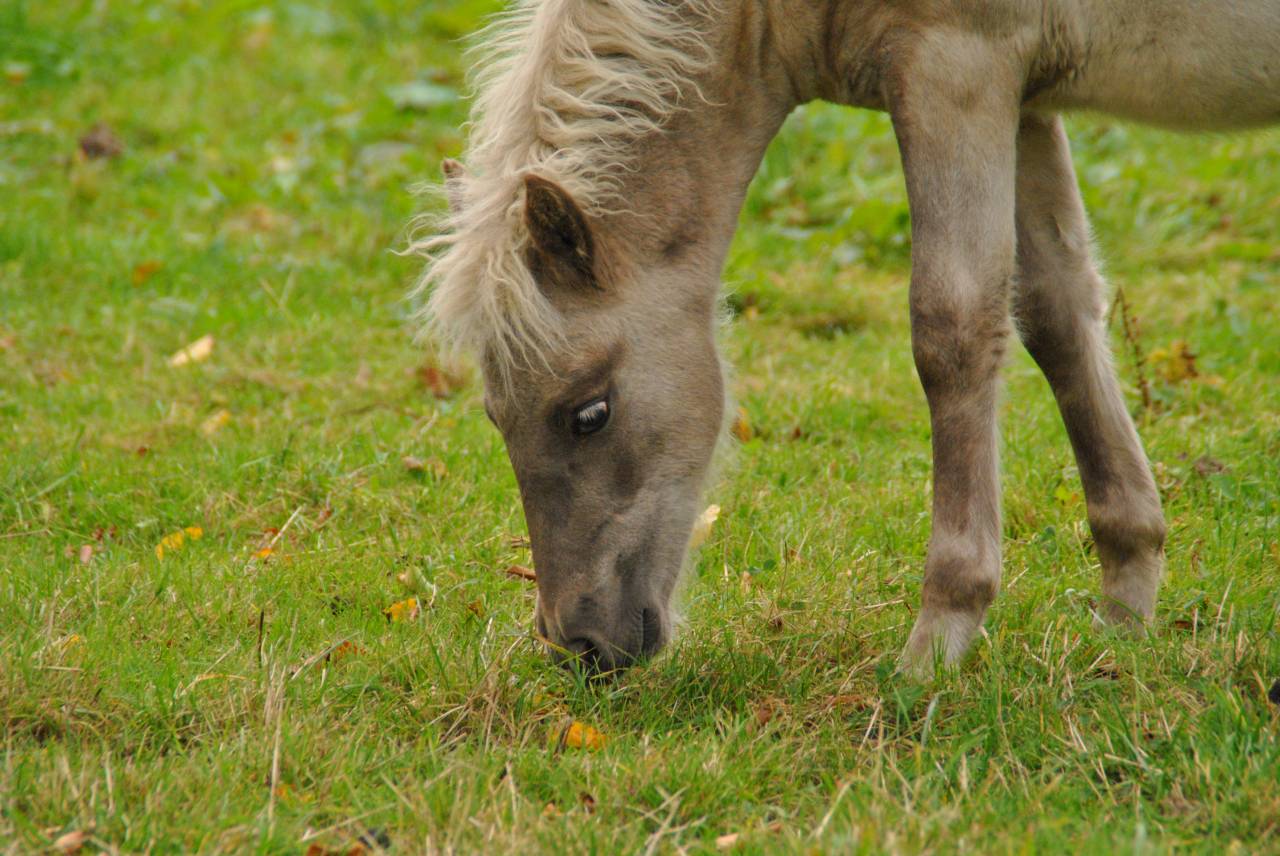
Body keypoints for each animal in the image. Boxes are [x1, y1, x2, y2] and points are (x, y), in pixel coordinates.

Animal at [412, 0, 1280, 676]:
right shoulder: (1027, 96)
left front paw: (938, 642)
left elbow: (953, 328)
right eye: (494, 416)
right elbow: (1057, 313)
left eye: (589, 413)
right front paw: (1125, 612)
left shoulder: (957, 69)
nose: (579, 645)